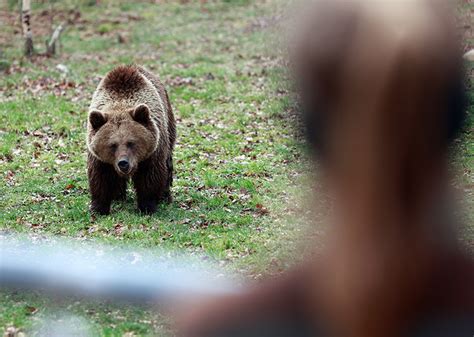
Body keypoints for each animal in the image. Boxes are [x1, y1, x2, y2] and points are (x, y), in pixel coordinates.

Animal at [86, 64, 175, 214]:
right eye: (112, 145)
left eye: (131, 143)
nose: (123, 163)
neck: (121, 103)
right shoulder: (99, 158)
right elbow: (100, 177)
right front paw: (99, 208)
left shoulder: (152, 152)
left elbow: (150, 176)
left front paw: (147, 206)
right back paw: (117, 195)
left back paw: (165, 196)